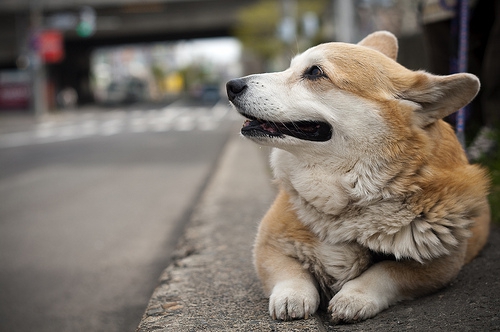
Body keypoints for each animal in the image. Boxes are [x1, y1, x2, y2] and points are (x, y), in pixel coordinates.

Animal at [226, 30, 488, 322]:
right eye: (290, 66)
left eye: (315, 72)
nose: (231, 85)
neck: (348, 195)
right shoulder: (267, 246)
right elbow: (291, 272)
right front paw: (292, 296)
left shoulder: (441, 263)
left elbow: (387, 271)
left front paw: (353, 297)